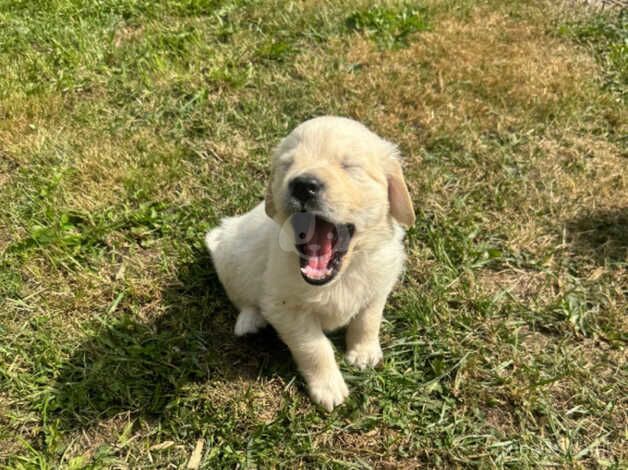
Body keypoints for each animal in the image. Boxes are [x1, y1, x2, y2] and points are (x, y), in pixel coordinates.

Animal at [204, 116, 414, 412]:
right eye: (287, 164)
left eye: (349, 166)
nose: (303, 185)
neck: (342, 274)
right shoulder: (284, 308)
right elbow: (314, 347)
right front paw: (329, 387)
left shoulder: (380, 283)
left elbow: (368, 319)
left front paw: (364, 352)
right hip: (229, 260)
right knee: (242, 298)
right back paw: (249, 321)